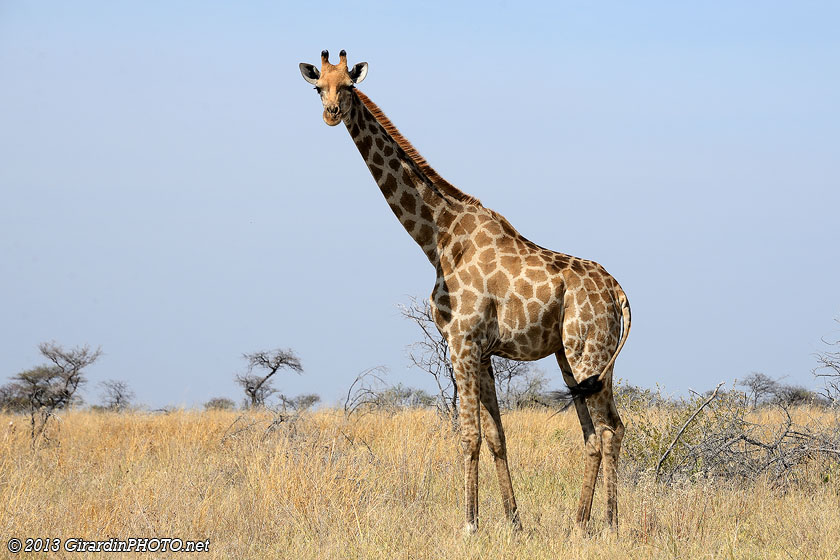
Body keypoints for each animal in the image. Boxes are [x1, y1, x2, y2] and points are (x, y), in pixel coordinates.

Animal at [299, 50, 631, 533]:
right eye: (317, 87)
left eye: (349, 86)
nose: (330, 113)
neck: (437, 237)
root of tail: (620, 292)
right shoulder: (485, 349)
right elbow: (496, 436)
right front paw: (513, 523)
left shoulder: (462, 341)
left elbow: (469, 435)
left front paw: (470, 524)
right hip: (576, 358)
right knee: (598, 431)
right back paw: (585, 523)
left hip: (588, 349)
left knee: (609, 429)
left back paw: (604, 526)